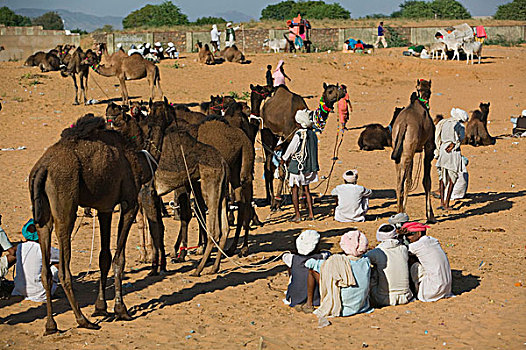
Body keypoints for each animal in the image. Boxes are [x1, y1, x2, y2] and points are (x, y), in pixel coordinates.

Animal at [29, 114, 156, 334]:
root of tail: (42, 168)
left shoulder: (104, 207)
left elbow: (104, 257)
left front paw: (100, 307)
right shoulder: (129, 203)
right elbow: (119, 259)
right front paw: (121, 309)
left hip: (42, 217)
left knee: (45, 271)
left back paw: (51, 325)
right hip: (66, 206)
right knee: (64, 270)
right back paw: (83, 320)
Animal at [392, 79, 438, 223]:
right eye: (430, 91)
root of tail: (403, 124)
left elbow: (410, 178)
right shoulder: (429, 147)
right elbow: (426, 180)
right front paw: (431, 216)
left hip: (400, 149)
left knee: (399, 182)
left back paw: (398, 212)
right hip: (409, 150)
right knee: (404, 182)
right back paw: (402, 214)